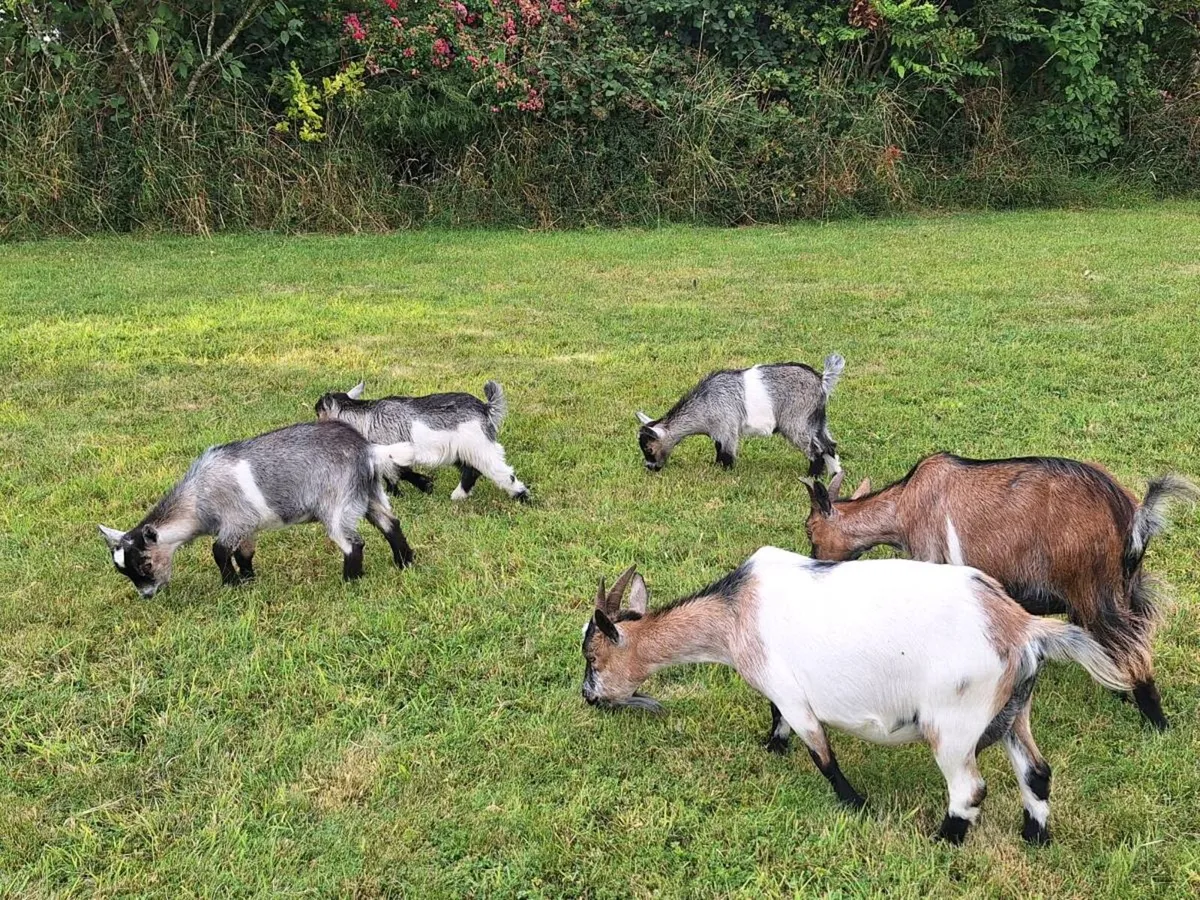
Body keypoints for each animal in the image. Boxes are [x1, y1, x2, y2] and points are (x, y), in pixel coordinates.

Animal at [98, 421, 416, 596]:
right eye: (124, 572)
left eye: (146, 564)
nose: (147, 595)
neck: (198, 499)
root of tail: (368, 450)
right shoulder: (248, 525)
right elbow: (244, 553)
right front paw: (249, 579)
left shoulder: (234, 520)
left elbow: (219, 551)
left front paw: (231, 584)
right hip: (370, 494)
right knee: (391, 523)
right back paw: (404, 561)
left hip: (337, 503)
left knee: (353, 542)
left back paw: (350, 579)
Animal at [315, 380, 529, 503]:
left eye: (318, 412)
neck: (366, 417)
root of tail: (485, 408)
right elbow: (394, 474)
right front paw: (400, 492)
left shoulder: (393, 450)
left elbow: (399, 472)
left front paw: (419, 486)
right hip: (463, 451)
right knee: (471, 471)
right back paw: (458, 496)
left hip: (481, 448)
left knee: (503, 473)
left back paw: (522, 497)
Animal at [580, 550, 1130, 846]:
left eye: (592, 658)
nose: (588, 697)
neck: (735, 611)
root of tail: (1022, 627)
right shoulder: (781, 691)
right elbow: (777, 719)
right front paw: (771, 746)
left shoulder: (791, 693)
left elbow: (821, 753)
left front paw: (857, 804)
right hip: (1015, 711)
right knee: (1036, 771)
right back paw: (1034, 838)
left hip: (954, 722)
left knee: (969, 789)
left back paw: (942, 841)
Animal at [635, 355, 845, 474]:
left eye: (649, 449)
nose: (650, 468)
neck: (704, 405)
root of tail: (821, 380)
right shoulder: (719, 432)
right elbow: (718, 449)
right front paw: (717, 467)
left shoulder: (727, 428)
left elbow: (726, 453)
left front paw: (725, 471)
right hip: (817, 421)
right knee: (829, 445)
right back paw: (834, 474)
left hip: (797, 423)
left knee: (815, 450)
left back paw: (812, 476)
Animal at [799, 454, 1198, 730]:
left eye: (810, 529)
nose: (815, 564)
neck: (904, 505)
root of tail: (1134, 517)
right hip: (1129, 587)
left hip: (1094, 591)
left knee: (1134, 649)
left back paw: (1156, 722)